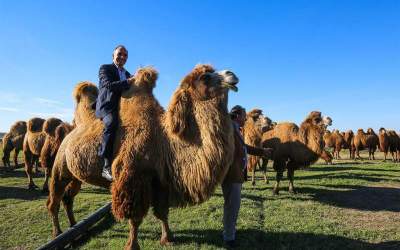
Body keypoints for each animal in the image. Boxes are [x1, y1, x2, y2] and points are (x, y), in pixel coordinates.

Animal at [48, 64, 239, 248]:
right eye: (205, 76)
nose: (232, 75)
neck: (163, 140)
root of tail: (70, 132)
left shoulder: (160, 181)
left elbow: (162, 212)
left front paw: (168, 238)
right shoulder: (132, 178)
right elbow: (135, 218)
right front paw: (132, 245)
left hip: (76, 176)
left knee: (68, 199)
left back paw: (74, 228)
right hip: (60, 166)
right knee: (54, 200)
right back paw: (57, 232)